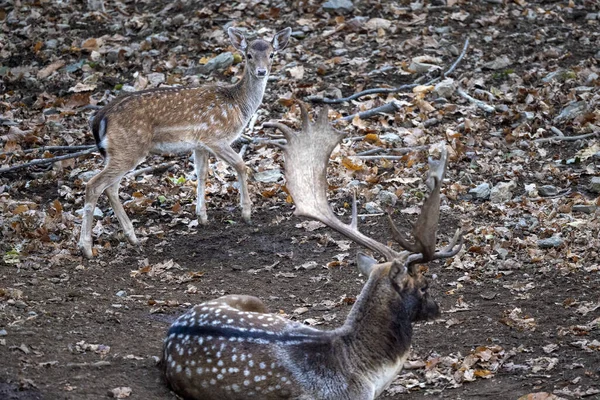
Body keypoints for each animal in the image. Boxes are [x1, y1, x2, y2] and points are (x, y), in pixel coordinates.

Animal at [77, 28, 292, 260]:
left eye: (272, 54)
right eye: (249, 55)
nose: (261, 71)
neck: (237, 106)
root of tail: (101, 117)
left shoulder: (200, 145)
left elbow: (202, 173)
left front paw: (202, 217)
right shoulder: (216, 137)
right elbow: (241, 165)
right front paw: (246, 213)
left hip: (118, 152)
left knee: (111, 188)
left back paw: (132, 237)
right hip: (128, 148)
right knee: (94, 185)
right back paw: (87, 248)